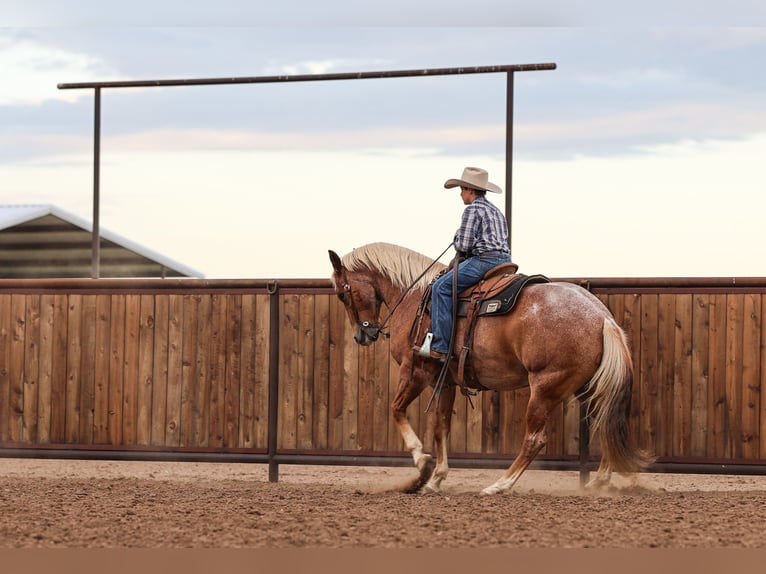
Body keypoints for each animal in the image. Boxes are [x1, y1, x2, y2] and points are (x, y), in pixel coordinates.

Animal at [329, 242, 652, 495]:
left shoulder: (415, 372)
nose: (363, 335)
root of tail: (602, 317)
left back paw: (500, 485)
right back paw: (599, 481)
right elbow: (441, 426)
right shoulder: (444, 381)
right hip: (586, 386)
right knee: (605, 421)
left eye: (342, 294)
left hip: (545, 387)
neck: (414, 298)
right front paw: (436, 478)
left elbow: (396, 410)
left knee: (535, 439)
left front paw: (422, 463)